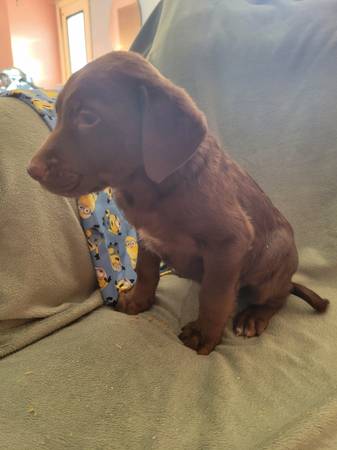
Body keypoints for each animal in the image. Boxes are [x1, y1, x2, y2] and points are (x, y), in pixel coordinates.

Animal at [27, 51, 326, 356]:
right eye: (59, 113)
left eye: (88, 117)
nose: (31, 170)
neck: (150, 186)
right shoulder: (145, 236)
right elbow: (146, 271)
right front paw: (138, 300)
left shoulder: (230, 242)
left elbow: (214, 295)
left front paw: (205, 334)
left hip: (273, 257)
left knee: (277, 297)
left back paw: (253, 316)